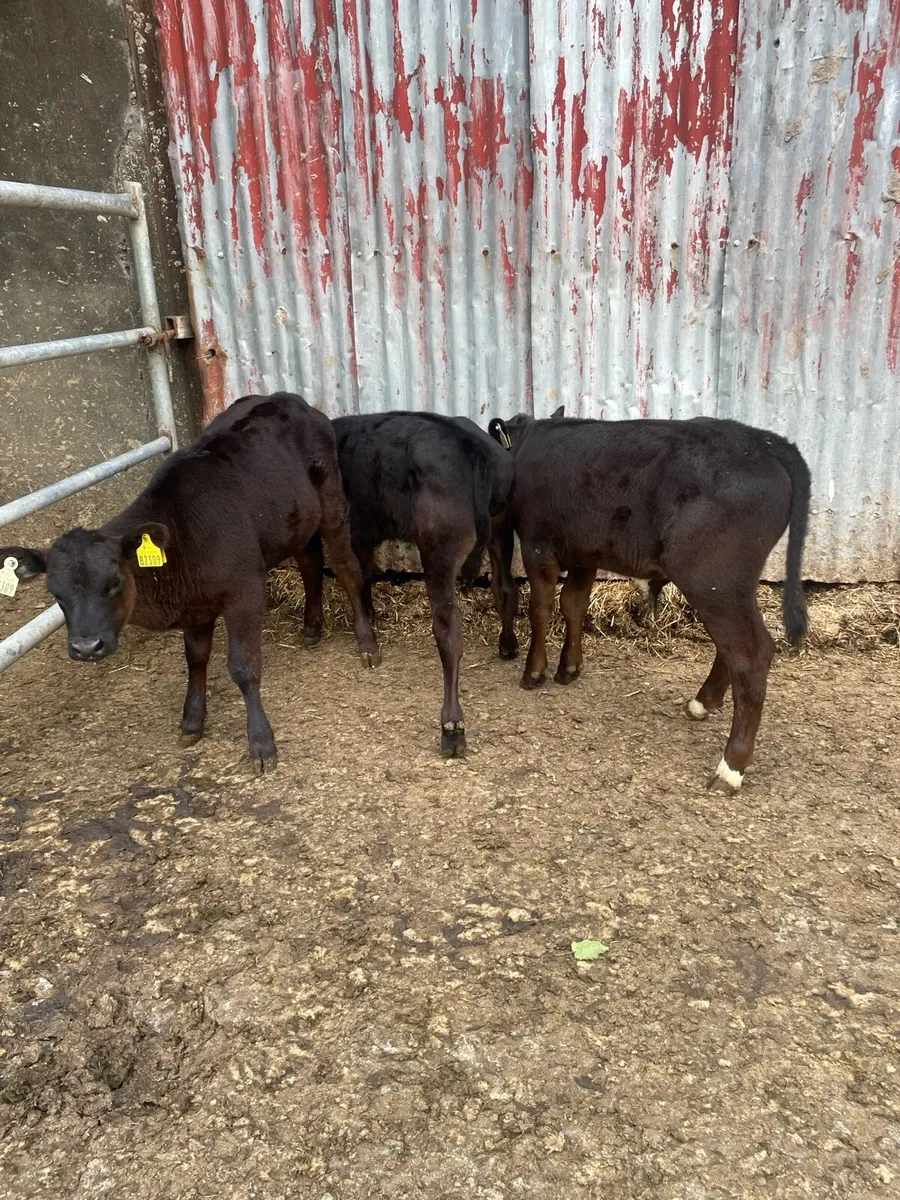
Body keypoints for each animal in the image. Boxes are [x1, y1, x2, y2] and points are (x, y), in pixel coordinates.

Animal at [1, 393, 379, 770]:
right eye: (55, 593)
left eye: (114, 582)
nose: (85, 647)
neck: (183, 536)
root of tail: (285, 398)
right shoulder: (195, 606)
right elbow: (195, 658)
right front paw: (192, 720)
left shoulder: (245, 593)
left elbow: (243, 667)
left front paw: (261, 743)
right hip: (295, 523)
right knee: (311, 564)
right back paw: (312, 628)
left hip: (333, 507)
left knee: (346, 569)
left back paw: (367, 643)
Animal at [326, 411, 519, 758]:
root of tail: (469, 442)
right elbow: (365, 573)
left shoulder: (348, 528)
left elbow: (352, 575)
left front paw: (367, 642)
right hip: (501, 529)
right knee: (506, 590)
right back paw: (508, 645)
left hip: (438, 551)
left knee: (448, 630)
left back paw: (452, 726)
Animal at [488, 407, 810, 791]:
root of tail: (763, 440)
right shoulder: (585, 552)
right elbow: (573, 606)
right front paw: (569, 667)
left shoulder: (538, 546)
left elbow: (541, 609)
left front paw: (534, 671)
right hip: (728, 588)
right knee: (731, 647)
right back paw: (703, 702)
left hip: (713, 579)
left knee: (751, 653)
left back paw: (730, 768)